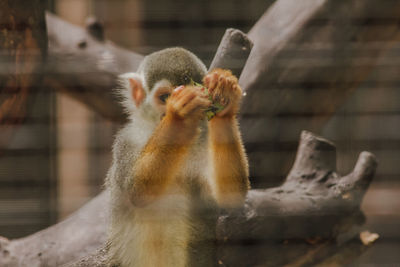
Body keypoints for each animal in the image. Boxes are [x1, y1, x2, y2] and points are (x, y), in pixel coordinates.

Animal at [105, 47, 250, 266]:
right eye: (164, 97)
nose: (166, 114)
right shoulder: (126, 140)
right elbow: (136, 189)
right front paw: (179, 116)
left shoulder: (202, 142)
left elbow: (230, 196)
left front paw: (224, 96)